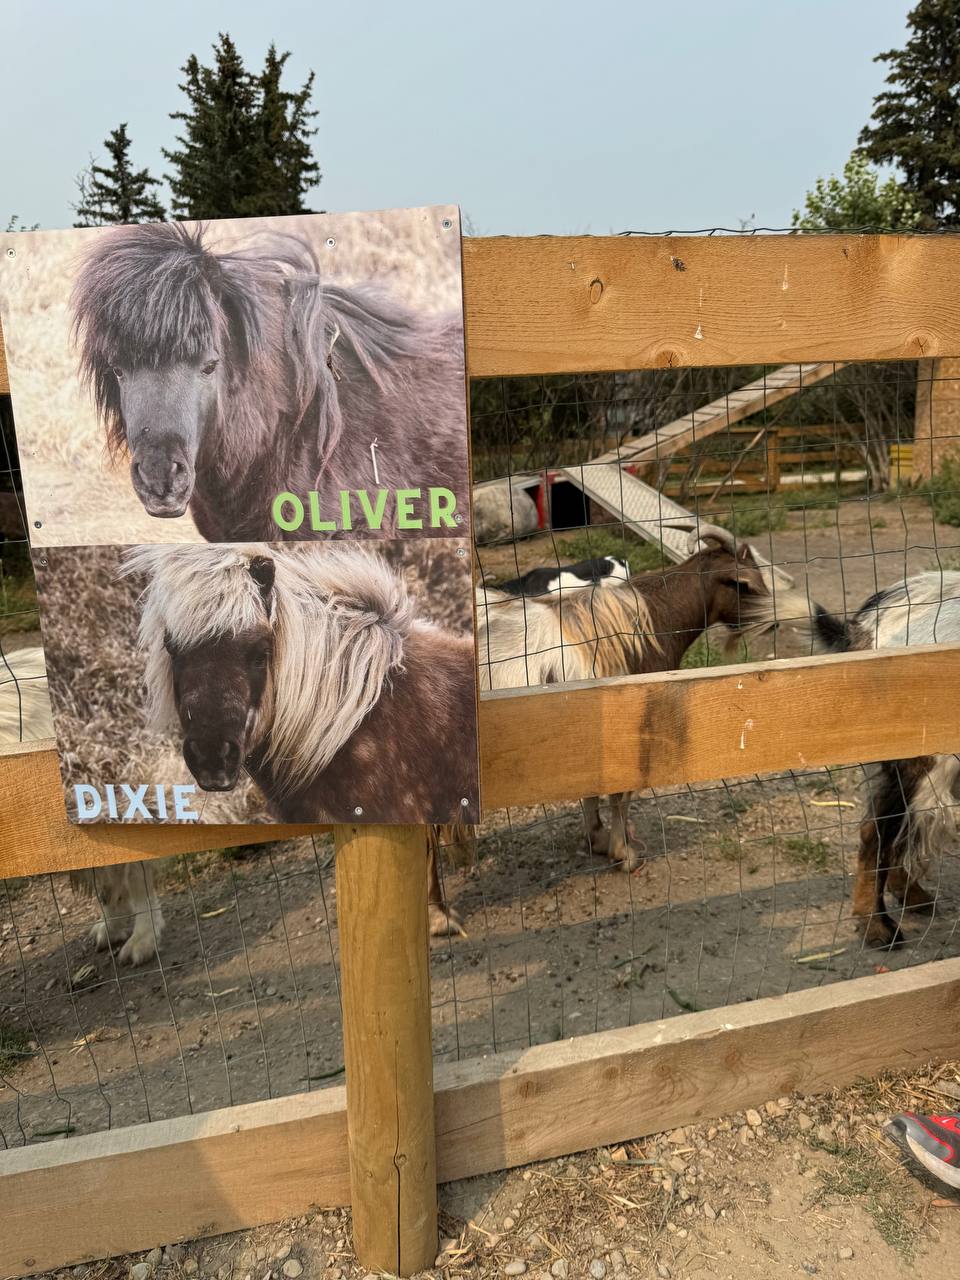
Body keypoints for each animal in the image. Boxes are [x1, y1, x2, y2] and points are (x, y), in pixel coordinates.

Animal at [477, 519, 811, 867]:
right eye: (744, 584)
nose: (773, 622)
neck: (647, 621)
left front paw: (597, 838)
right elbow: (621, 792)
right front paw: (623, 852)